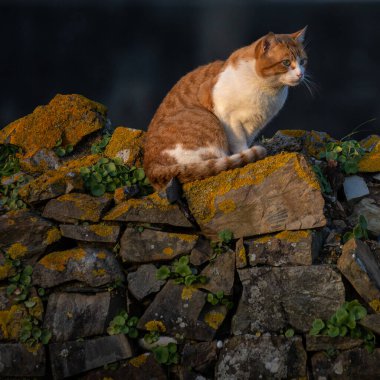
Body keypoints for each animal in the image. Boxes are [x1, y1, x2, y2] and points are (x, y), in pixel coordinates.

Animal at [144, 27, 308, 190]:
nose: (300, 74)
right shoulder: (227, 116)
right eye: (286, 62)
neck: (266, 90)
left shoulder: (254, 126)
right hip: (208, 121)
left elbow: (246, 140)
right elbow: (239, 142)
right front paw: (246, 154)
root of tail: (151, 166)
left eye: (303, 61)